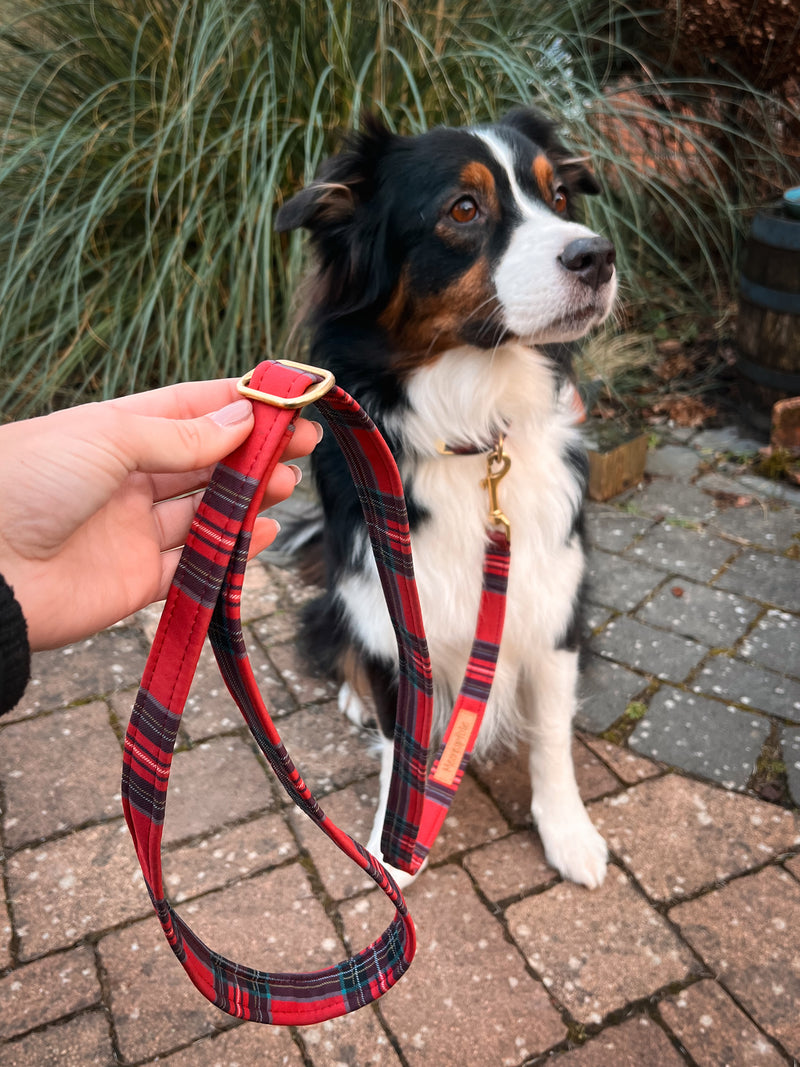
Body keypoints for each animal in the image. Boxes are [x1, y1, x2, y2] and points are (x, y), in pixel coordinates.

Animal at [275, 110, 618, 892]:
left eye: (559, 196)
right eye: (464, 210)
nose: (600, 255)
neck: (472, 435)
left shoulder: (552, 605)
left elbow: (552, 736)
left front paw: (568, 832)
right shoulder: (393, 620)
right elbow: (401, 748)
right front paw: (392, 850)